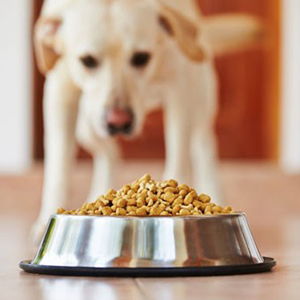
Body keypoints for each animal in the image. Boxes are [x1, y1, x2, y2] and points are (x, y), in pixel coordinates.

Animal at [31, 0, 264, 241]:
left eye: (141, 57)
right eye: (87, 61)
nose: (118, 122)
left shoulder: (180, 92)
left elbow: (178, 158)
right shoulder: (60, 93)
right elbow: (58, 169)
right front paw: (45, 222)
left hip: (200, 101)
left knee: (203, 147)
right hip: (87, 125)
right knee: (109, 154)